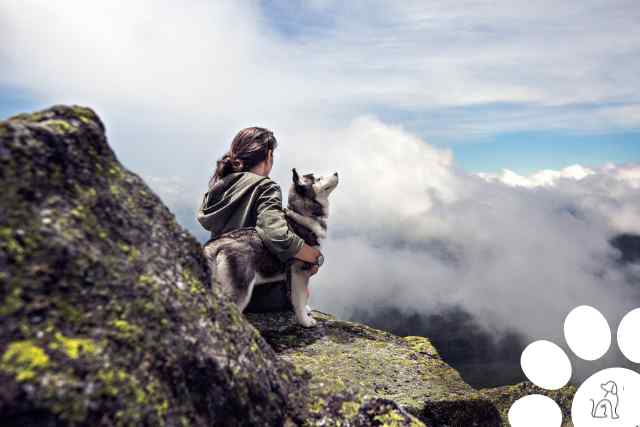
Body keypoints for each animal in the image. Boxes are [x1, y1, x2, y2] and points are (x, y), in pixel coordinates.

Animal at [204, 168, 340, 328]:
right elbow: (299, 299)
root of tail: (216, 243)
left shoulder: (292, 276)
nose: (336, 173)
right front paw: (305, 321)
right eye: (318, 179)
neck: (303, 217)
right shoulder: (299, 272)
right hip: (240, 289)